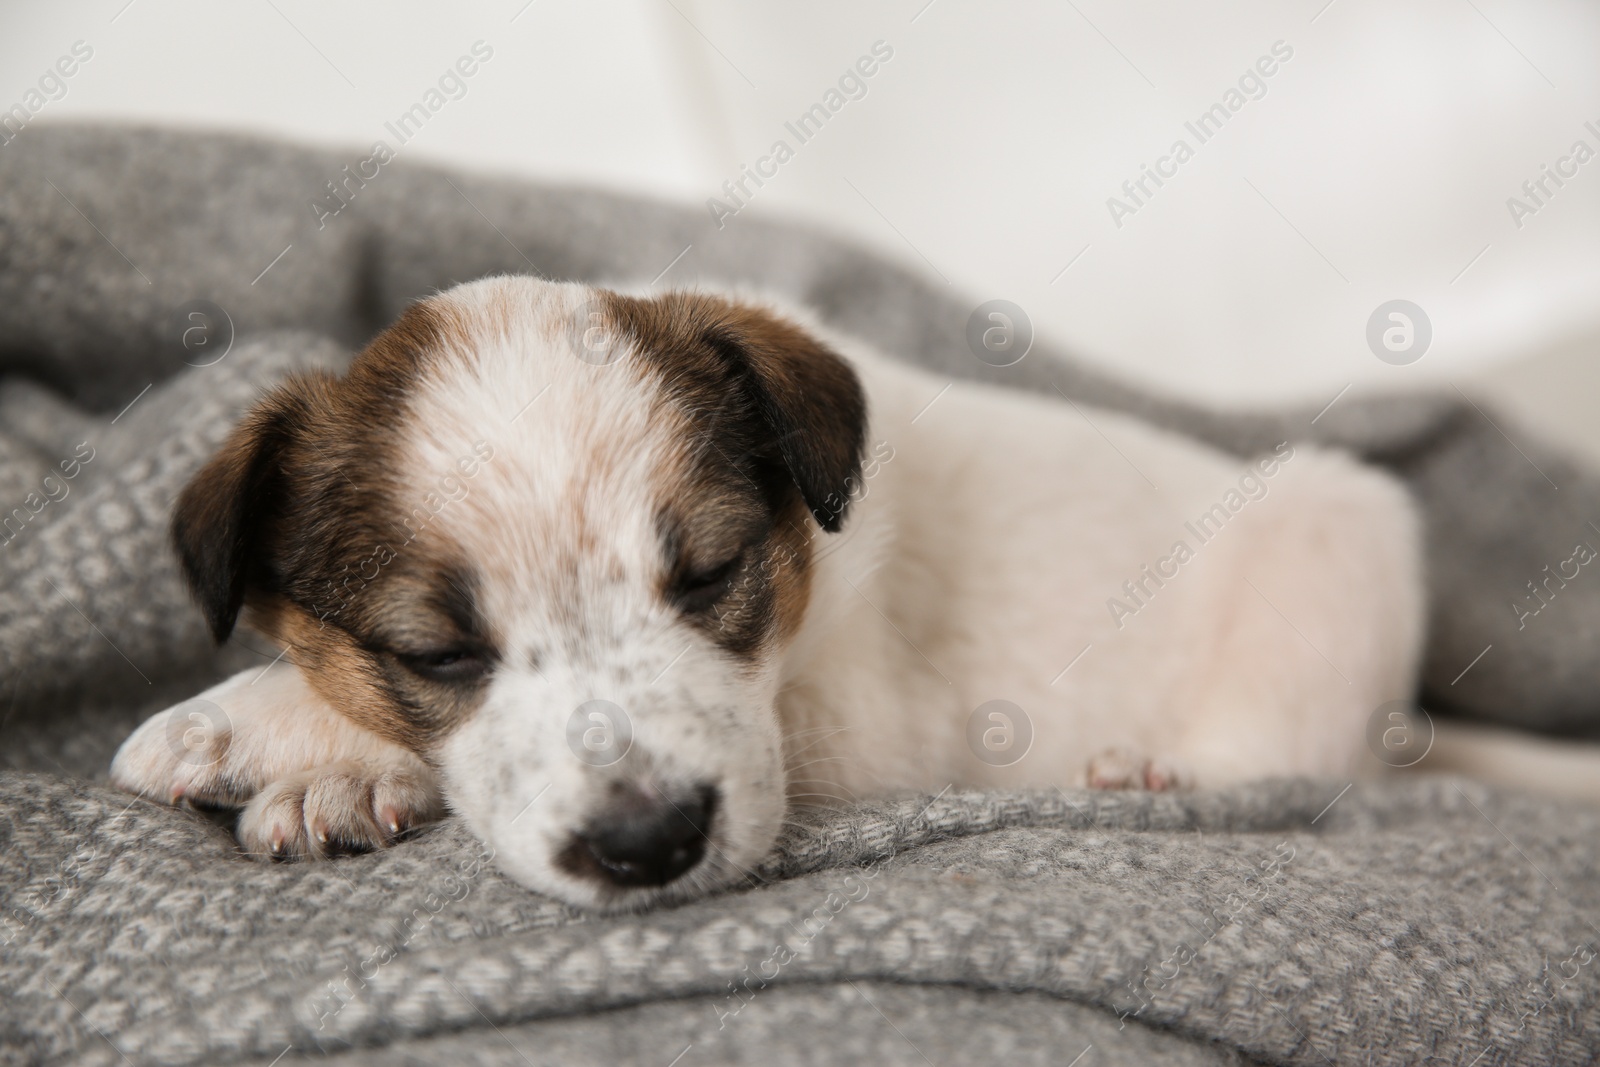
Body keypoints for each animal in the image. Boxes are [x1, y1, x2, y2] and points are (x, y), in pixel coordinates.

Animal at [106, 278, 1420, 908]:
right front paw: (329, 760)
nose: (649, 845)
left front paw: (267, 725)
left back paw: (1153, 772)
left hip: (1339, 545)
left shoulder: (864, 715)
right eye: (435, 653)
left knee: (1289, 755)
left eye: (708, 573)